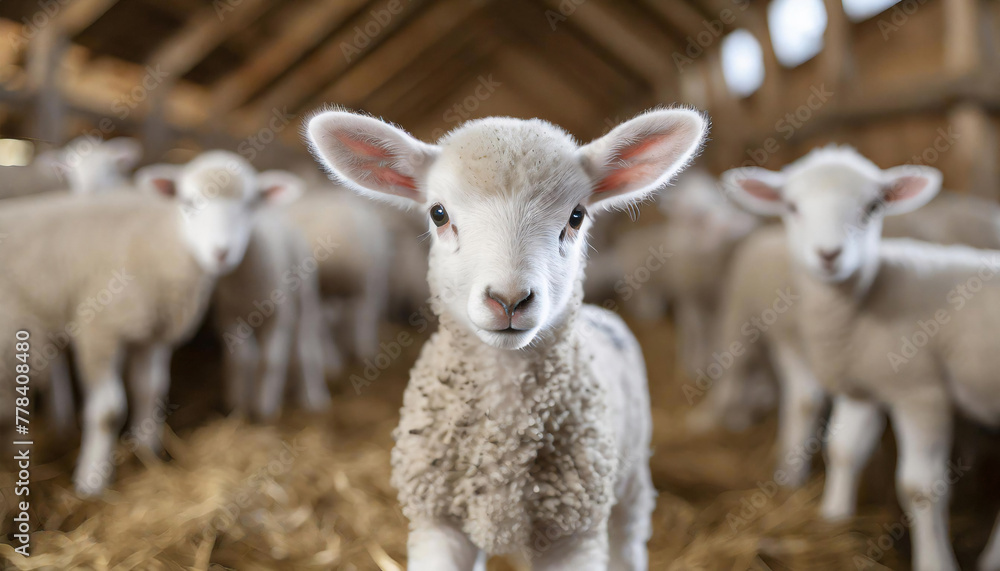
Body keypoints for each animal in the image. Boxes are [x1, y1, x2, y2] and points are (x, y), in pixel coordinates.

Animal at [0, 151, 294, 496]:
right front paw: (92, 481)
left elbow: (150, 390)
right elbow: (108, 411)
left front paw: (146, 454)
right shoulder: (99, 331)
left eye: (250, 205)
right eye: (189, 202)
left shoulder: (153, 334)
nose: (222, 253)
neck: (165, 243)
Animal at [308, 108, 708, 571]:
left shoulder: (572, 532)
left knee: (628, 541)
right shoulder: (438, 522)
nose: (509, 299)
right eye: (439, 214)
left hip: (630, 480)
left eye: (576, 217)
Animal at [724, 145, 1000, 571]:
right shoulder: (862, 386)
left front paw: (934, 561)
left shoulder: (921, 392)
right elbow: (842, 451)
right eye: (792, 206)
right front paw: (834, 522)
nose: (829, 254)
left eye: (872, 207)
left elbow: (920, 488)